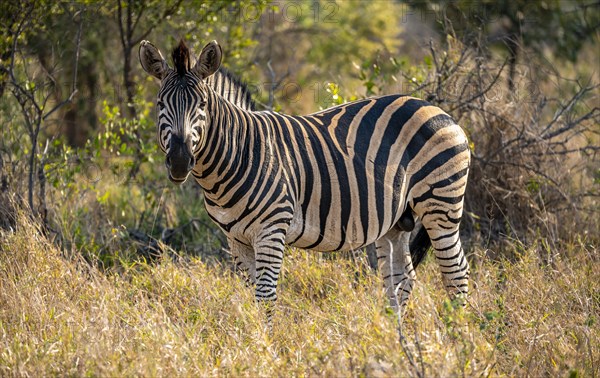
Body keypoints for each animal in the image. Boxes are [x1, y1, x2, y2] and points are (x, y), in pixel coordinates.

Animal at [138, 39, 472, 320]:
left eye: (203, 106)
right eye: (160, 105)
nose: (179, 161)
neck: (238, 153)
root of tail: (436, 108)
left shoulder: (271, 229)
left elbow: (265, 297)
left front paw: (267, 350)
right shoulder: (236, 239)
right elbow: (252, 295)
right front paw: (254, 342)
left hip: (441, 205)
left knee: (457, 273)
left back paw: (458, 335)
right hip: (397, 220)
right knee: (402, 277)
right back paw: (394, 337)